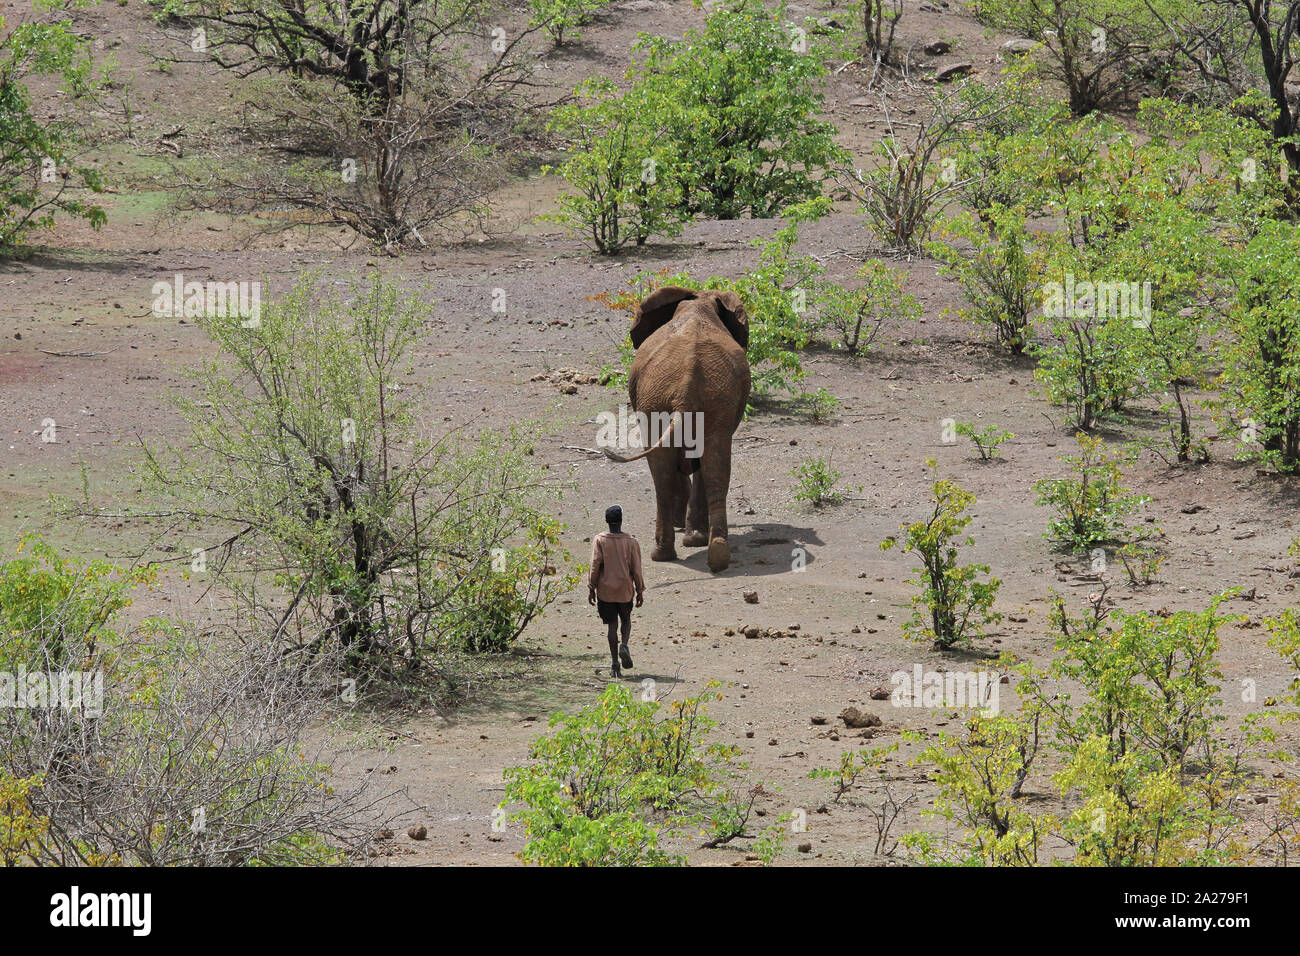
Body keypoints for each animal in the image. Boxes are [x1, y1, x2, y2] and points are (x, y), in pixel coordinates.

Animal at [602, 286, 751, 572]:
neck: (699, 302)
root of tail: (686, 386)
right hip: (681, 400)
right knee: (707, 465)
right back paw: (708, 554)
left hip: (664, 400)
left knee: (670, 470)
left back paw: (673, 552)